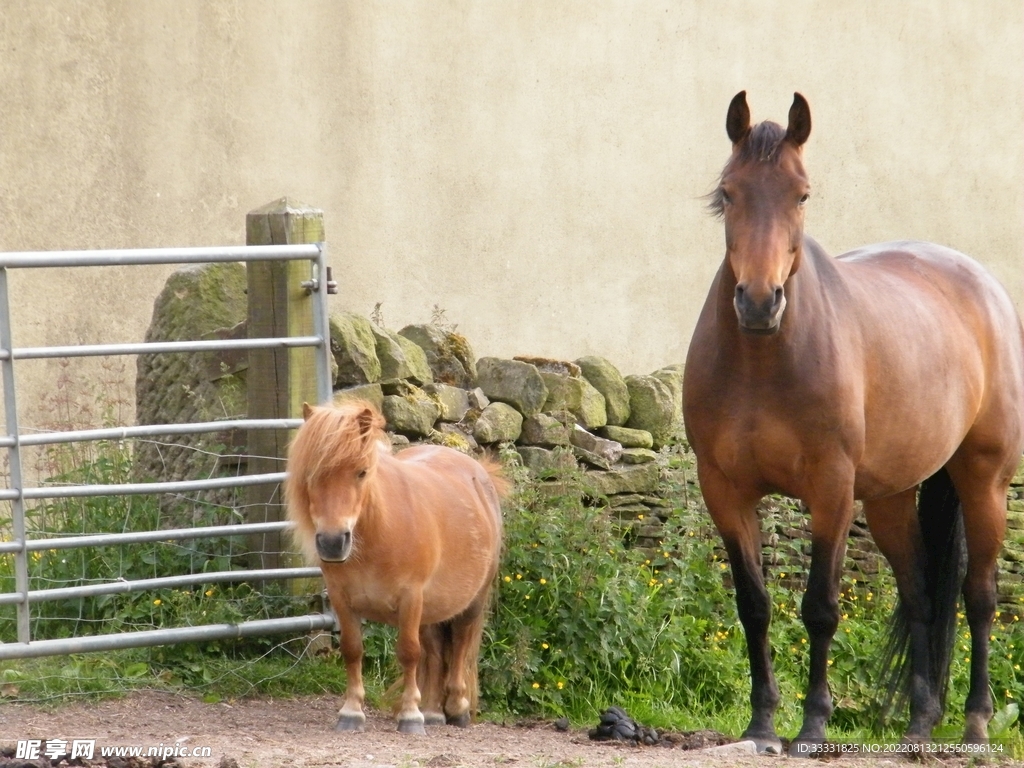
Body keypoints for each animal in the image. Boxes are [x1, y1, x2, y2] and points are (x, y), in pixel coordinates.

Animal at [285, 400, 506, 734]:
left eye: (361, 472)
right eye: (311, 474)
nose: (333, 543)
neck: (377, 535)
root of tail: (479, 474)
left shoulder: (410, 597)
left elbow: (408, 652)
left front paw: (410, 716)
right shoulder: (341, 598)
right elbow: (352, 649)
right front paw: (351, 712)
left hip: (471, 602)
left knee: (460, 644)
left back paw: (456, 709)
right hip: (431, 607)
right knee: (435, 651)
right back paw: (433, 710)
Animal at [682, 91, 1024, 755]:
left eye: (802, 194)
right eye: (730, 192)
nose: (758, 303)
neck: (762, 360)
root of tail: (983, 285)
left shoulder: (831, 489)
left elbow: (820, 606)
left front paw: (813, 723)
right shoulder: (725, 491)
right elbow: (754, 605)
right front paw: (762, 725)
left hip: (984, 481)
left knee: (979, 597)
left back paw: (974, 722)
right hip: (890, 496)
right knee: (920, 594)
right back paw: (920, 722)